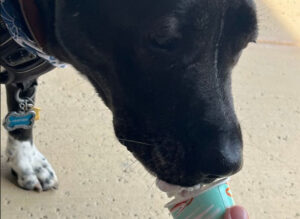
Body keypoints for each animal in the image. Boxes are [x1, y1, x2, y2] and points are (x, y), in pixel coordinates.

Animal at [0, 0, 258, 191]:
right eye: (162, 38)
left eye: (247, 42)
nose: (227, 164)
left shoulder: (24, 76)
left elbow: (21, 119)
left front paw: (27, 163)